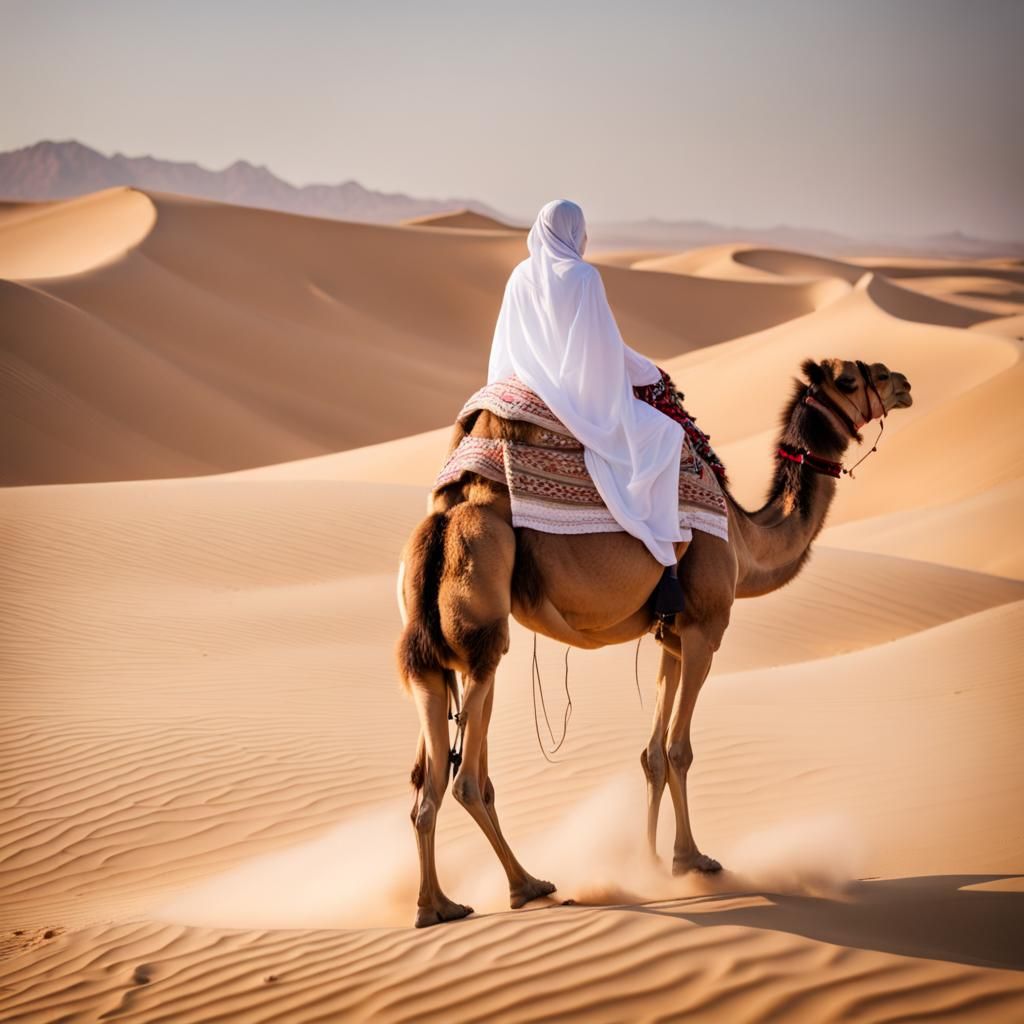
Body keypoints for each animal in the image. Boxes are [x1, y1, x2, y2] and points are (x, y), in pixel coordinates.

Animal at [395, 357, 912, 927]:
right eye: (851, 379)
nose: (903, 383)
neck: (744, 538)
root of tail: (443, 520)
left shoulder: (671, 637)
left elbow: (652, 755)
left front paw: (648, 862)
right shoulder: (706, 628)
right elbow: (679, 750)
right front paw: (692, 859)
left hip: (432, 654)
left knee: (427, 777)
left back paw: (437, 905)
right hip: (484, 618)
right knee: (465, 777)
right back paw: (525, 886)